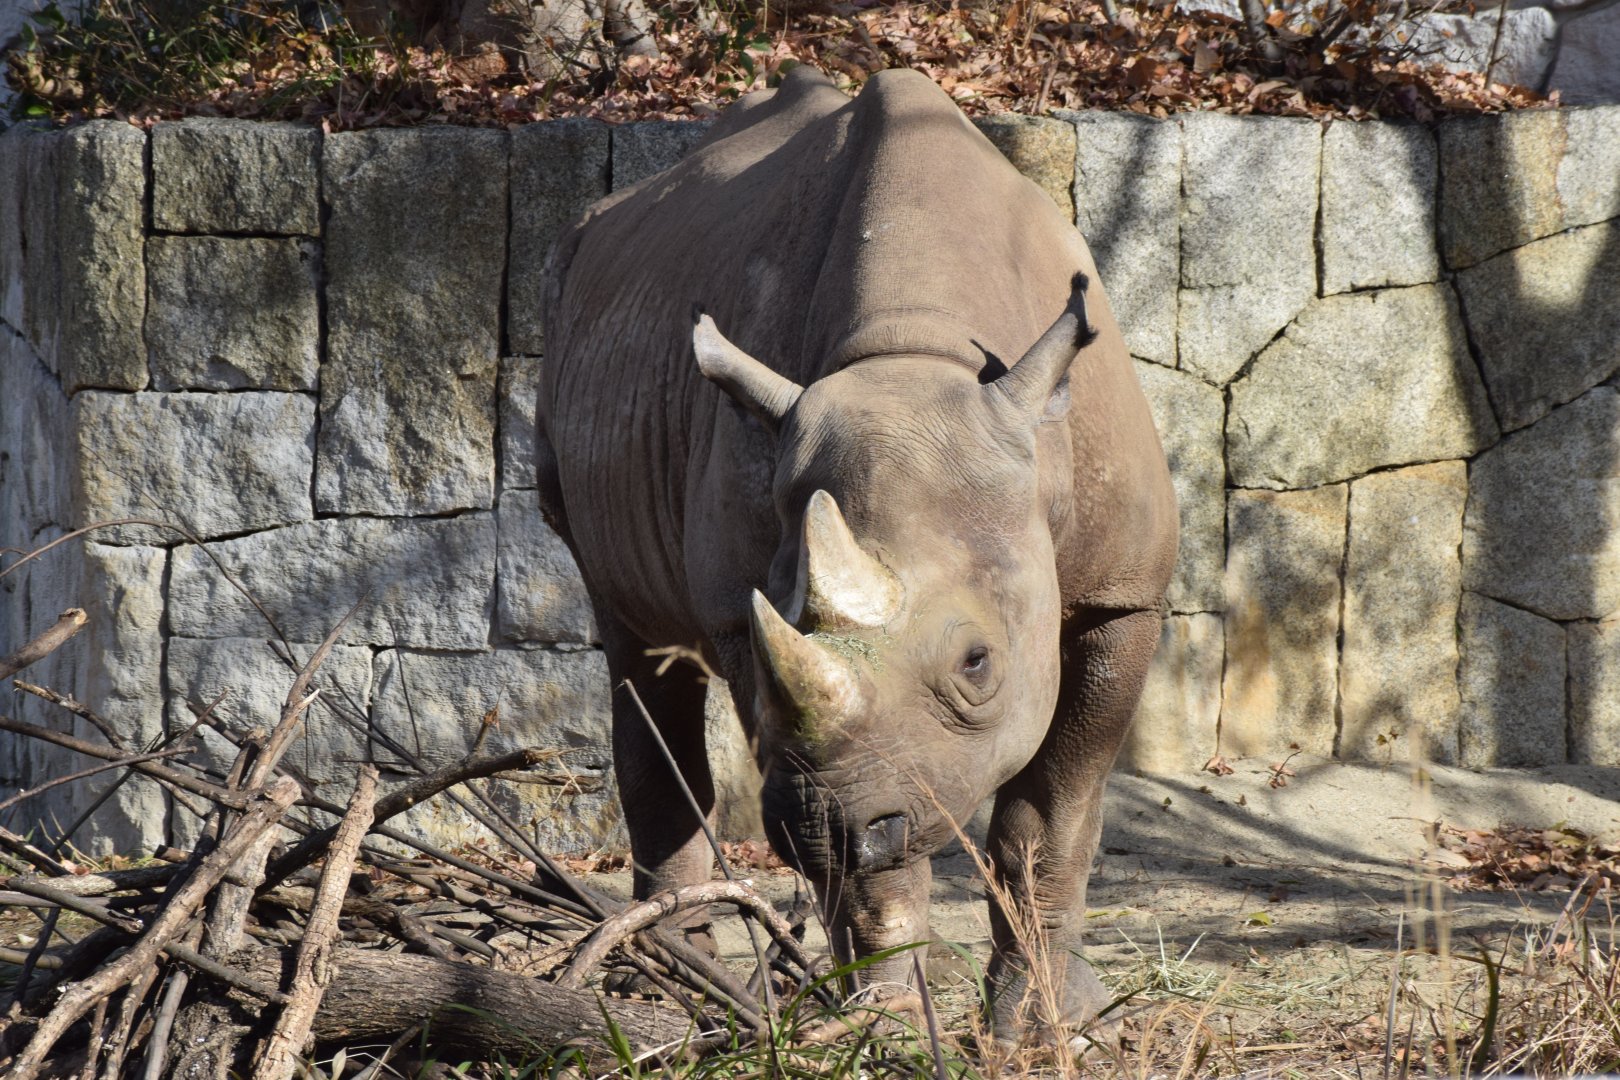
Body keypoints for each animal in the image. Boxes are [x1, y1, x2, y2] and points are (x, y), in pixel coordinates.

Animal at [536, 66, 1177, 1038]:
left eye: (979, 664)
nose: (817, 824)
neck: (914, 354)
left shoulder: (1124, 592)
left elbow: (1052, 816)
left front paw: (1042, 1025)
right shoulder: (759, 629)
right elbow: (876, 869)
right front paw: (887, 1023)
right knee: (635, 640)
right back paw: (665, 980)